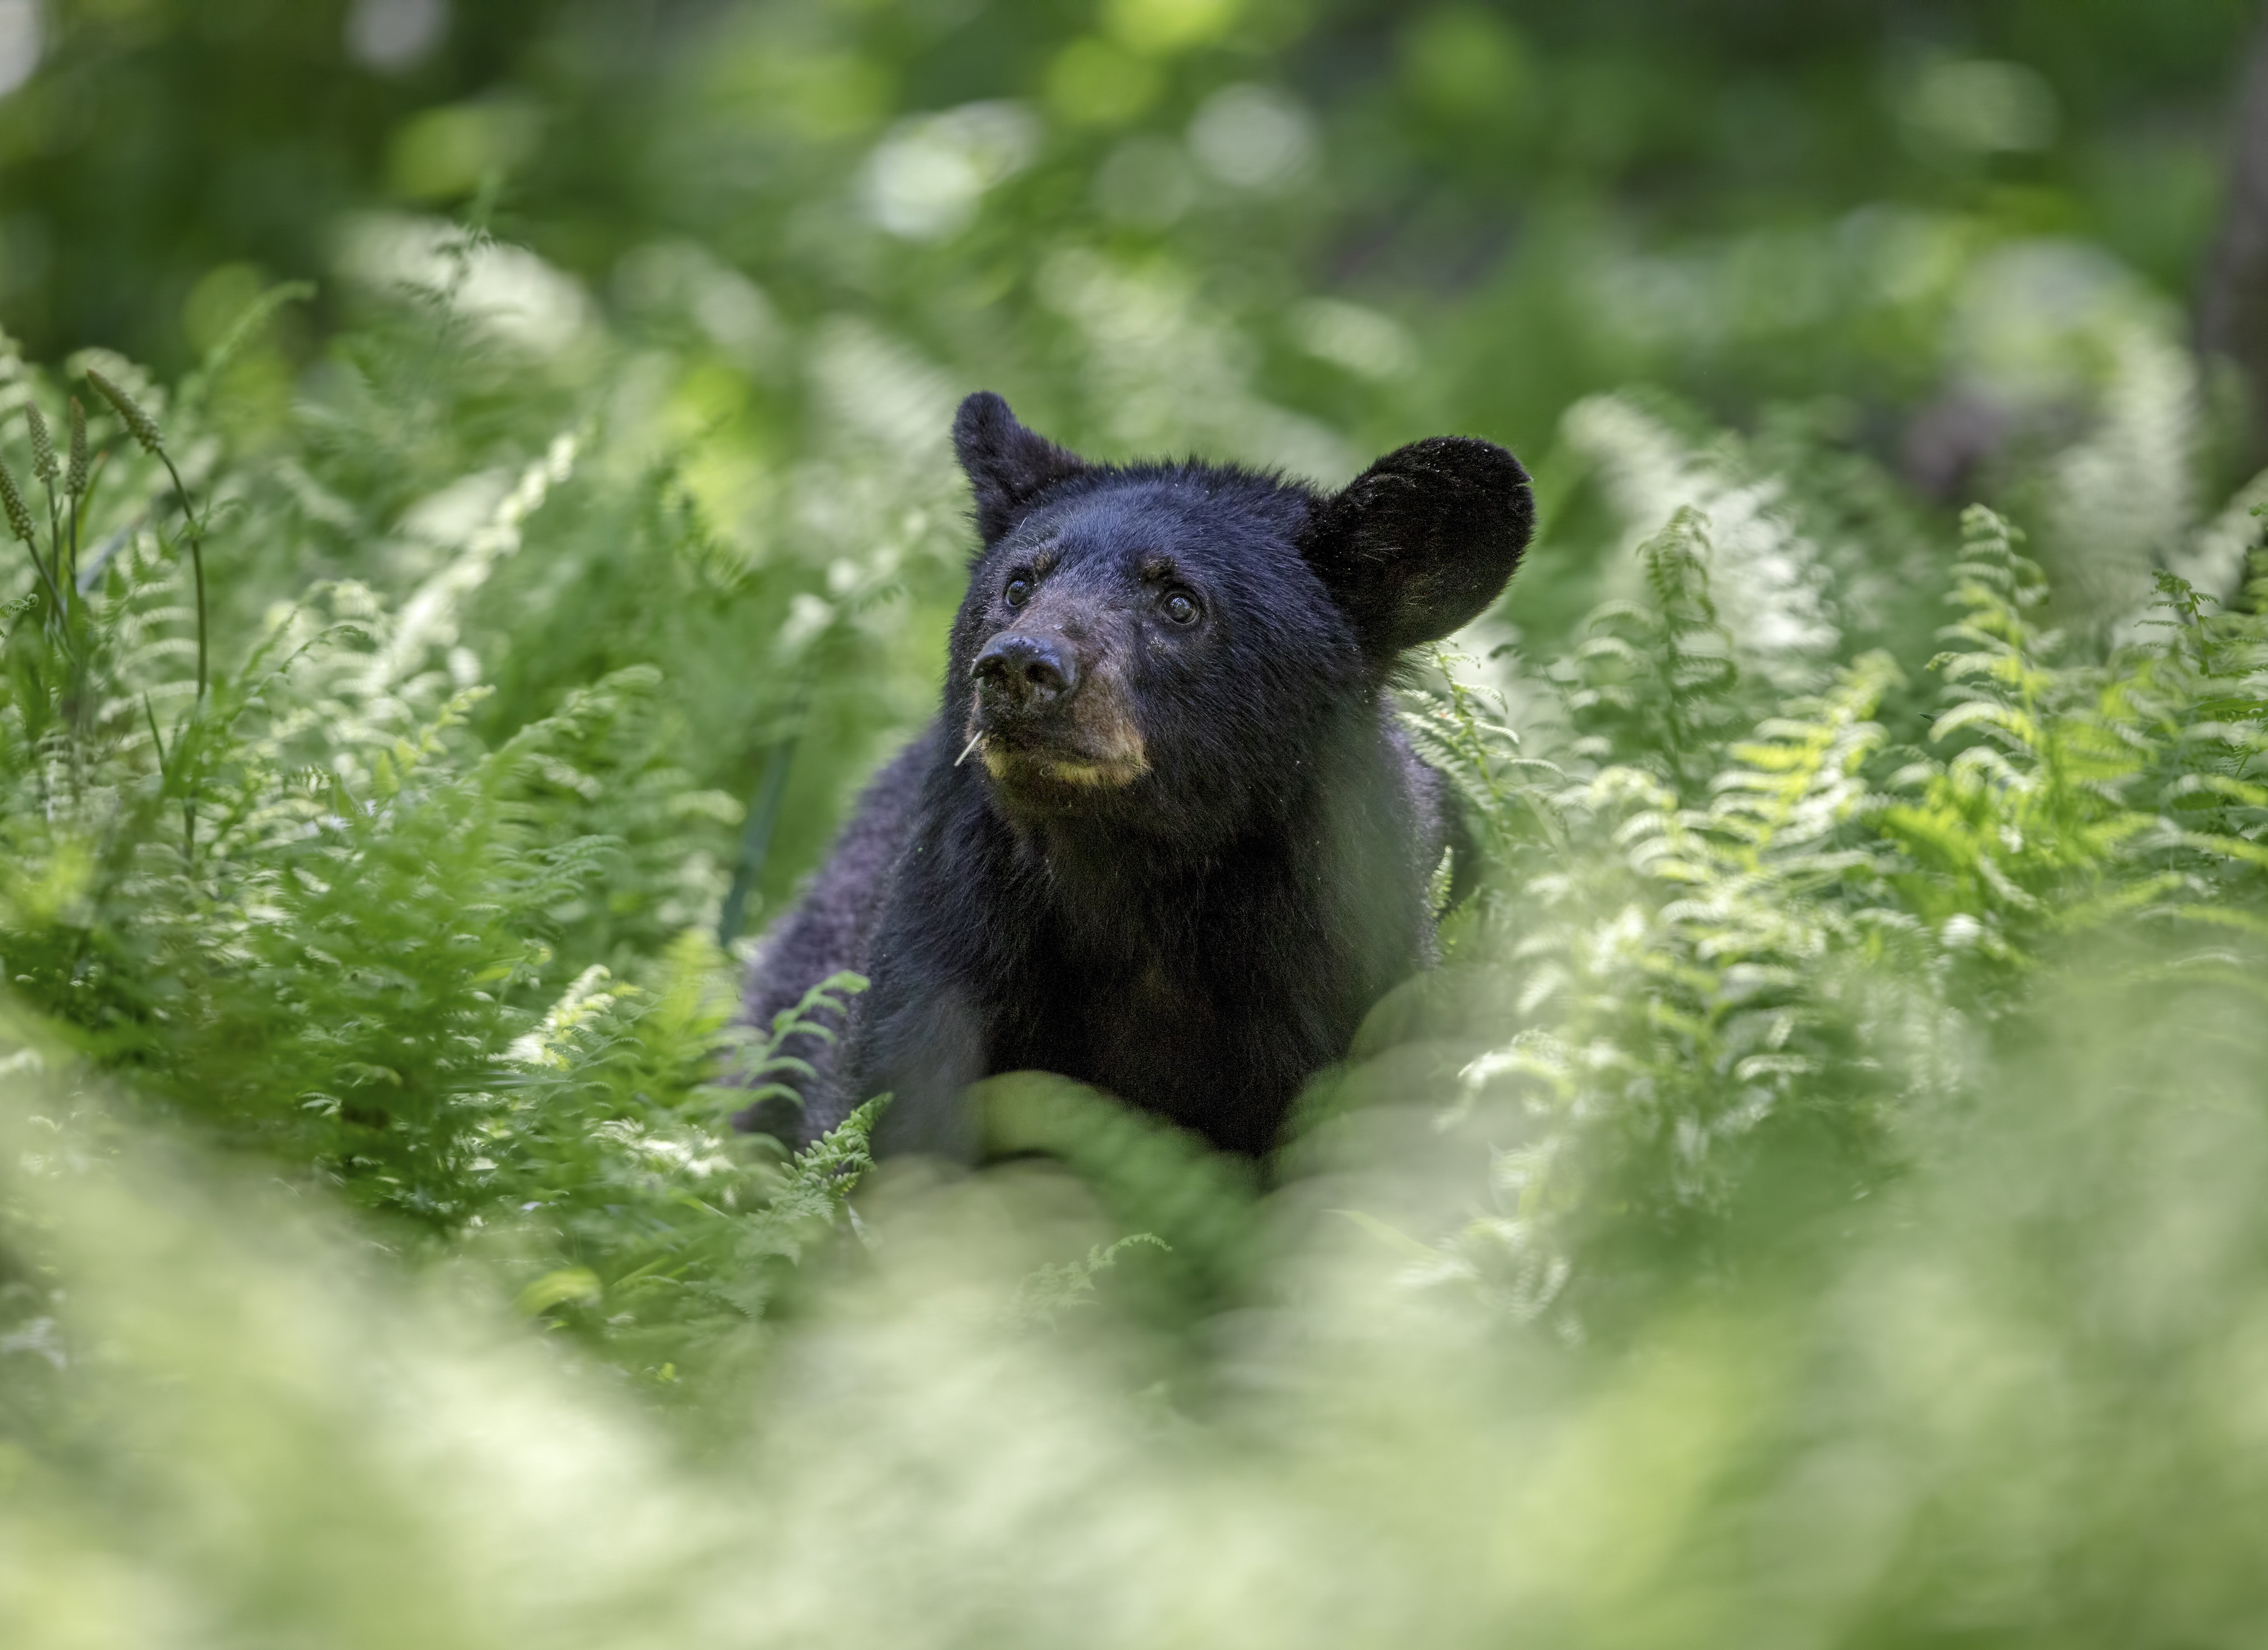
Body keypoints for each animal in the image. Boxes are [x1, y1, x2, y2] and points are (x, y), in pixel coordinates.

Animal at [743, 392, 1542, 1157]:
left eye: (1180, 602)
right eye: (1018, 584)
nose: (1020, 666)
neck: (1135, 892)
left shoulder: (1353, 974)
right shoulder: (938, 977)